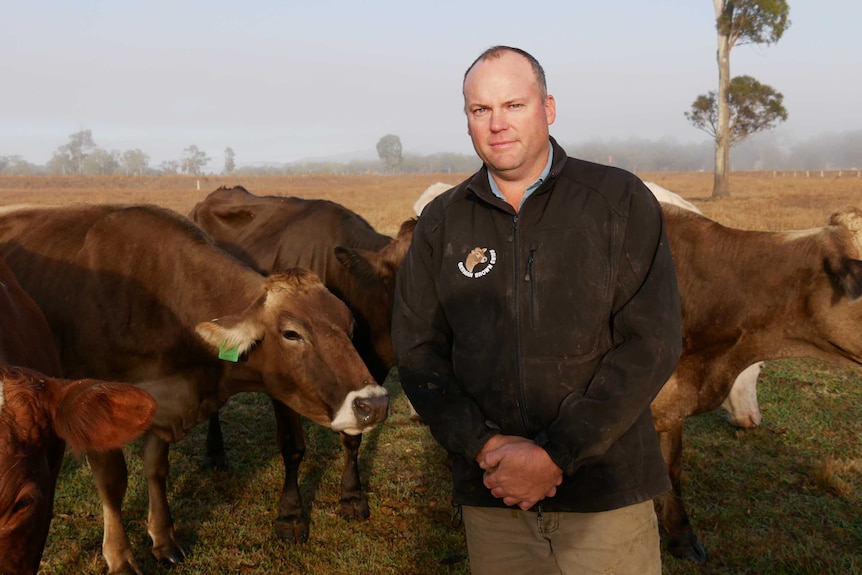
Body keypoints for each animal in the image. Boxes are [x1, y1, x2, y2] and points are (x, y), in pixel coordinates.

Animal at [190, 187, 418, 544]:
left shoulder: (366, 378)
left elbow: (353, 437)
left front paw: (352, 496)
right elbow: (293, 446)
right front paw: (290, 515)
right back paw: (214, 452)